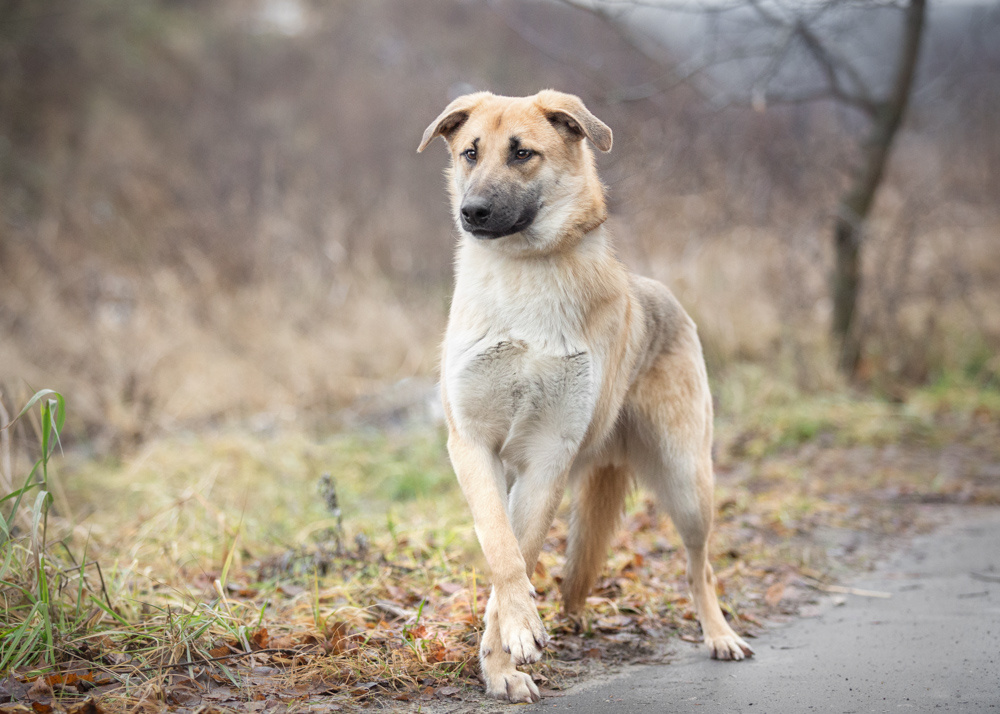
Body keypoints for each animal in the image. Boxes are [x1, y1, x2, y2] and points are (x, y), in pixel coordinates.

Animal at [418, 89, 752, 700]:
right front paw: (506, 660)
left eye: (522, 153)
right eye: (470, 153)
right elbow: (503, 550)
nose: (471, 213)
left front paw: (508, 650)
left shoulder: (547, 456)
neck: (524, 271)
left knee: (701, 566)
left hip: (688, 484)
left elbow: (520, 553)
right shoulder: (473, 447)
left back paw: (720, 635)